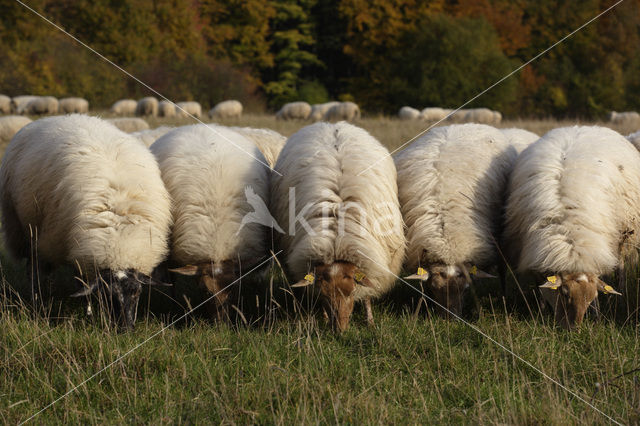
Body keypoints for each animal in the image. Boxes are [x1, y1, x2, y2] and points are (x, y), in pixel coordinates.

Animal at [0, 115, 172, 328]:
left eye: (137, 292)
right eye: (107, 295)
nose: (125, 329)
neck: (118, 230)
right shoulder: (75, 245)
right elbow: (81, 283)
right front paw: (88, 311)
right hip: (24, 230)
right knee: (33, 270)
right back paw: (37, 300)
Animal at [272, 121, 404, 332]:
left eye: (350, 292)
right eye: (323, 294)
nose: (339, 330)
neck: (337, 237)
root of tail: (333, 124)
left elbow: (367, 292)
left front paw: (370, 320)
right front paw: (325, 318)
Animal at [502, 126, 636, 330]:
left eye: (591, 297)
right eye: (564, 293)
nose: (573, 330)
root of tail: (580, 127)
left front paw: (596, 315)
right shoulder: (536, 254)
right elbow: (540, 283)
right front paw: (542, 312)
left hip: (623, 233)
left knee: (620, 263)